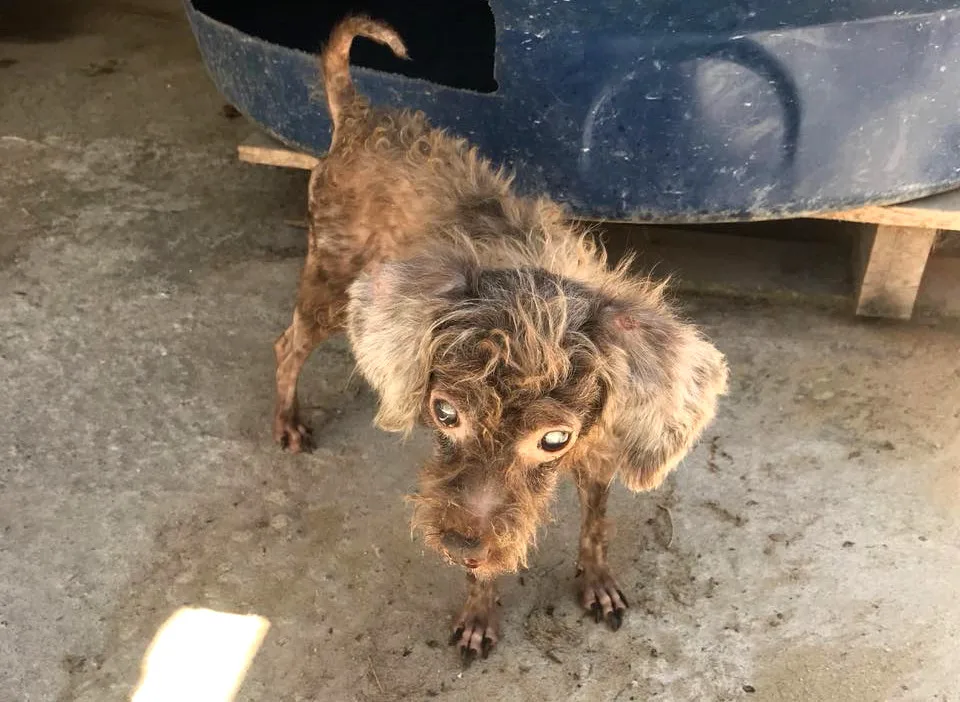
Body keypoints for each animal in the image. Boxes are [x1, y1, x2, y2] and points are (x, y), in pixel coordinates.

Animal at [272, 16, 728, 664]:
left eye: (554, 439)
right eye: (444, 413)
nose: (459, 543)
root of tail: (362, 117)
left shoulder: (599, 448)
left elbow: (596, 520)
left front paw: (595, 579)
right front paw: (480, 609)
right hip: (331, 282)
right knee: (288, 346)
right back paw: (288, 420)